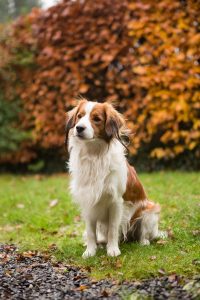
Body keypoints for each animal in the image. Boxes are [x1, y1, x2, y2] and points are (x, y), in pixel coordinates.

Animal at [65, 99, 166, 258]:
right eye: (79, 116)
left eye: (97, 119)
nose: (79, 128)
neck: (94, 155)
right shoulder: (88, 201)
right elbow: (90, 231)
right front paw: (90, 251)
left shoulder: (116, 201)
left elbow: (113, 228)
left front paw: (112, 250)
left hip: (149, 211)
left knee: (144, 233)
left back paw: (143, 241)